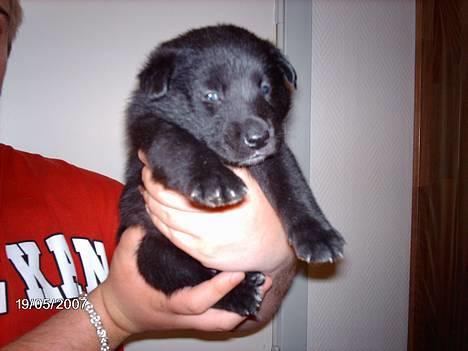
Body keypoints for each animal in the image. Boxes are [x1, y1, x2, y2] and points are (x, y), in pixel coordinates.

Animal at [118, 24, 344, 316]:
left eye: (266, 88)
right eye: (211, 95)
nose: (258, 138)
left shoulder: (276, 151)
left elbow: (292, 184)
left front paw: (317, 235)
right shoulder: (151, 127)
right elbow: (178, 142)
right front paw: (215, 181)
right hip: (154, 250)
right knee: (191, 276)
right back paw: (241, 293)